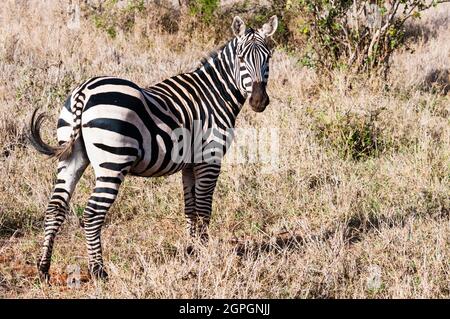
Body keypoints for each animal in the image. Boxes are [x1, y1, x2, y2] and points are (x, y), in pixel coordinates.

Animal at [28, 15, 278, 282]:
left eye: (268, 57)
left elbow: (190, 206)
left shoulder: (189, 163)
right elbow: (204, 206)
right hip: (112, 164)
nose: (259, 101)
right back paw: (98, 271)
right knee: (93, 213)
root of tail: (84, 91)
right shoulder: (210, 158)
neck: (214, 95)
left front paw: (191, 250)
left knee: (55, 207)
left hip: (71, 157)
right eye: (241, 58)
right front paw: (204, 250)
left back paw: (43, 268)